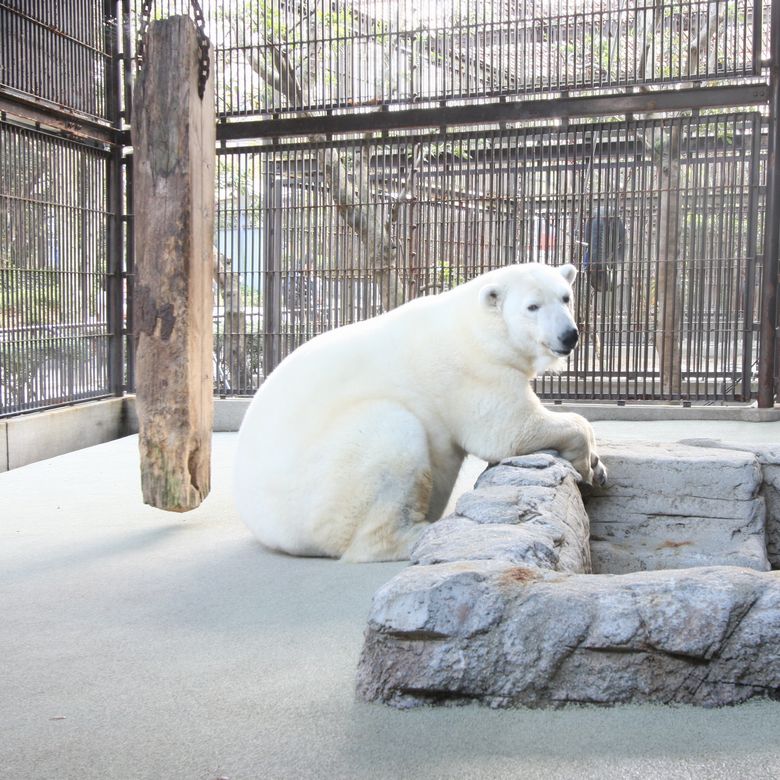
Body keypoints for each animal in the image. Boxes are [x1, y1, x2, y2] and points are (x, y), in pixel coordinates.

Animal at [235, 262, 608, 560]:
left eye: (565, 297)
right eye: (532, 306)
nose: (569, 335)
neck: (478, 328)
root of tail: (262, 523)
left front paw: (598, 467)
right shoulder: (473, 371)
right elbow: (510, 430)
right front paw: (586, 462)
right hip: (322, 483)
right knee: (391, 437)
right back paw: (429, 534)